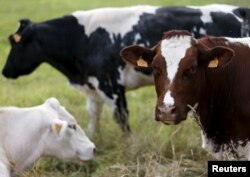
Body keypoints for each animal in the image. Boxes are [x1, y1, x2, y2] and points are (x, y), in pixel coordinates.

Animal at [1, 3, 250, 137]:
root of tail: (237, 9)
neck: (83, 39)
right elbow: (93, 115)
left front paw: (131, 146)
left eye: (17, 44)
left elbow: (122, 120)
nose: (5, 71)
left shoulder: (111, 87)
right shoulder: (94, 87)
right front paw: (90, 138)